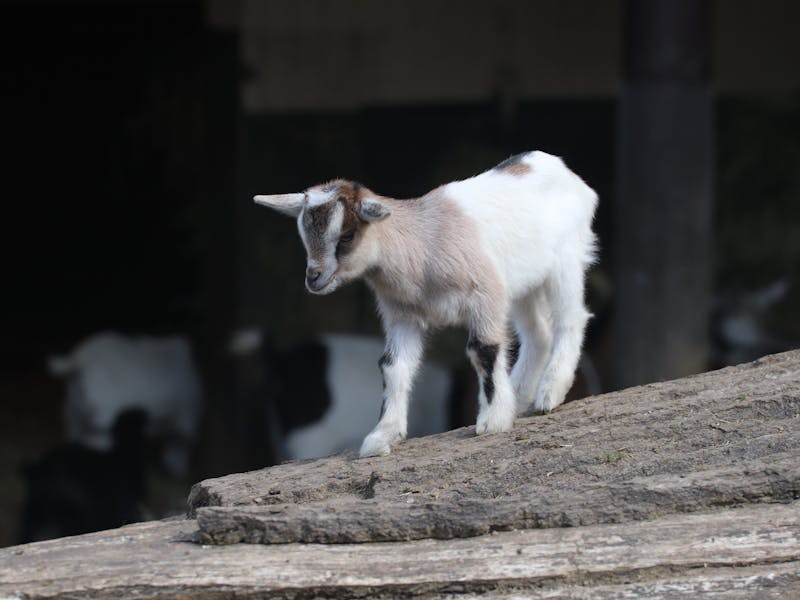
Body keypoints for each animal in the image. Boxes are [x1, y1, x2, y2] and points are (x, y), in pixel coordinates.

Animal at [254, 151, 598, 457]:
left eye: (347, 236)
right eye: (304, 236)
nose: (314, 279)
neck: (421, 245)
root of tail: (555, 165)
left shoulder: (485, 296)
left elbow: (483, 350)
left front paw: (493, 419)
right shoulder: (403, 316)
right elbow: (393, 366)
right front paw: (382, 436)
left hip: (566, 259)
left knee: (571, 318)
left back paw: (550, 391)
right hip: (525, 283)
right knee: (538, 333)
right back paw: (520, 395)